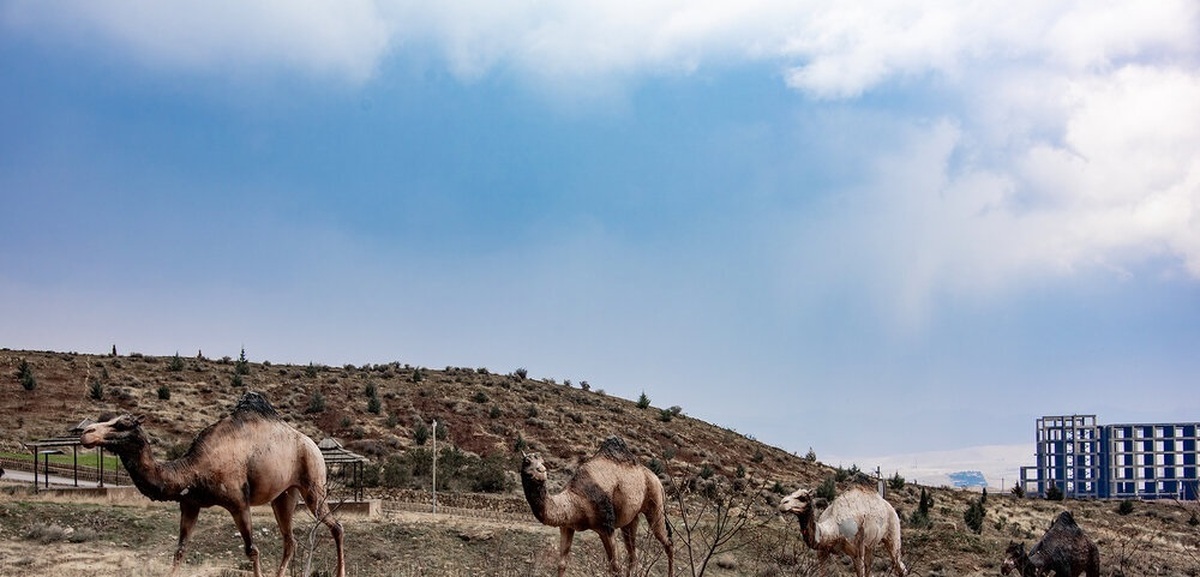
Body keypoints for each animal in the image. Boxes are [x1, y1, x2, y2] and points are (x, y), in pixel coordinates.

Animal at [80, 388, 348, 573]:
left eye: (122, 424)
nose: (86, 433)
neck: (191, 470)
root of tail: (313, 444)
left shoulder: (238, 502)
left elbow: (252, 550)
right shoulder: (190, 504)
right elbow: (179, 551)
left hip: (313, 480)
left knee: (336, 526)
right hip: (284, 496)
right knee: (290, 541)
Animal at [518, 436, 676, 575]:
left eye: (539, 467)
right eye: (525, 464)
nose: (532, 473)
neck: (575, 500)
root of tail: (656, 478)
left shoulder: (606, 526)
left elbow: (615, 567)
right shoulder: (567, 526)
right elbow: (562, 564)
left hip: (655, 499)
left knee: (667, 541)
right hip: (631, 519)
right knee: (633, 555)